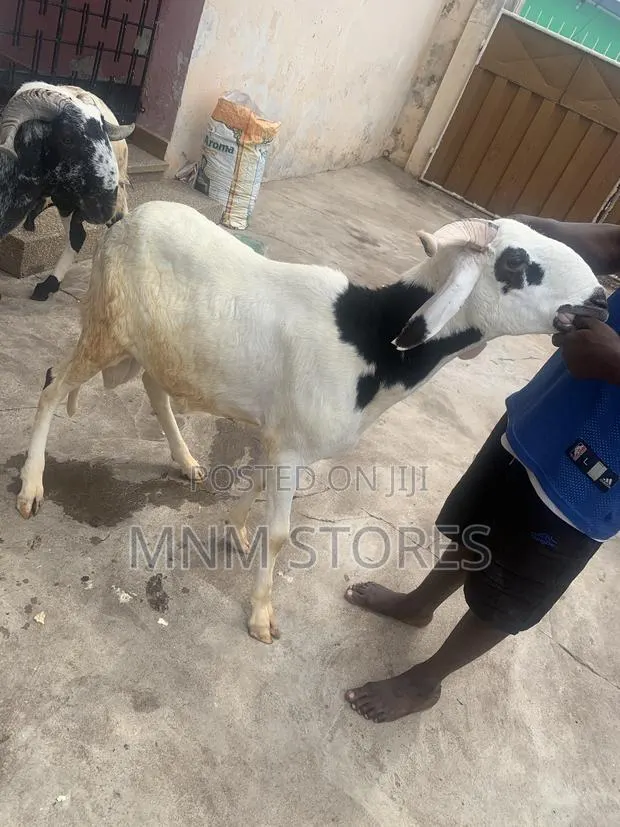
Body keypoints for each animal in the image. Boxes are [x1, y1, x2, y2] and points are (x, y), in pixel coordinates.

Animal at [16, 204, 608, 644]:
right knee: (51, 388)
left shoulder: (282, 437)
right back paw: (31, 487)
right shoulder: (290, 444)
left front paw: (235, 527)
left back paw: (186, 462)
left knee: (155, 393)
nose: (600, 300)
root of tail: (127, 217)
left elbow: (257, 487)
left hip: (154, 348)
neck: (369, 340)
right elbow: (279, 533)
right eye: (516, 264)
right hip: (106, 328)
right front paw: (261, 617)